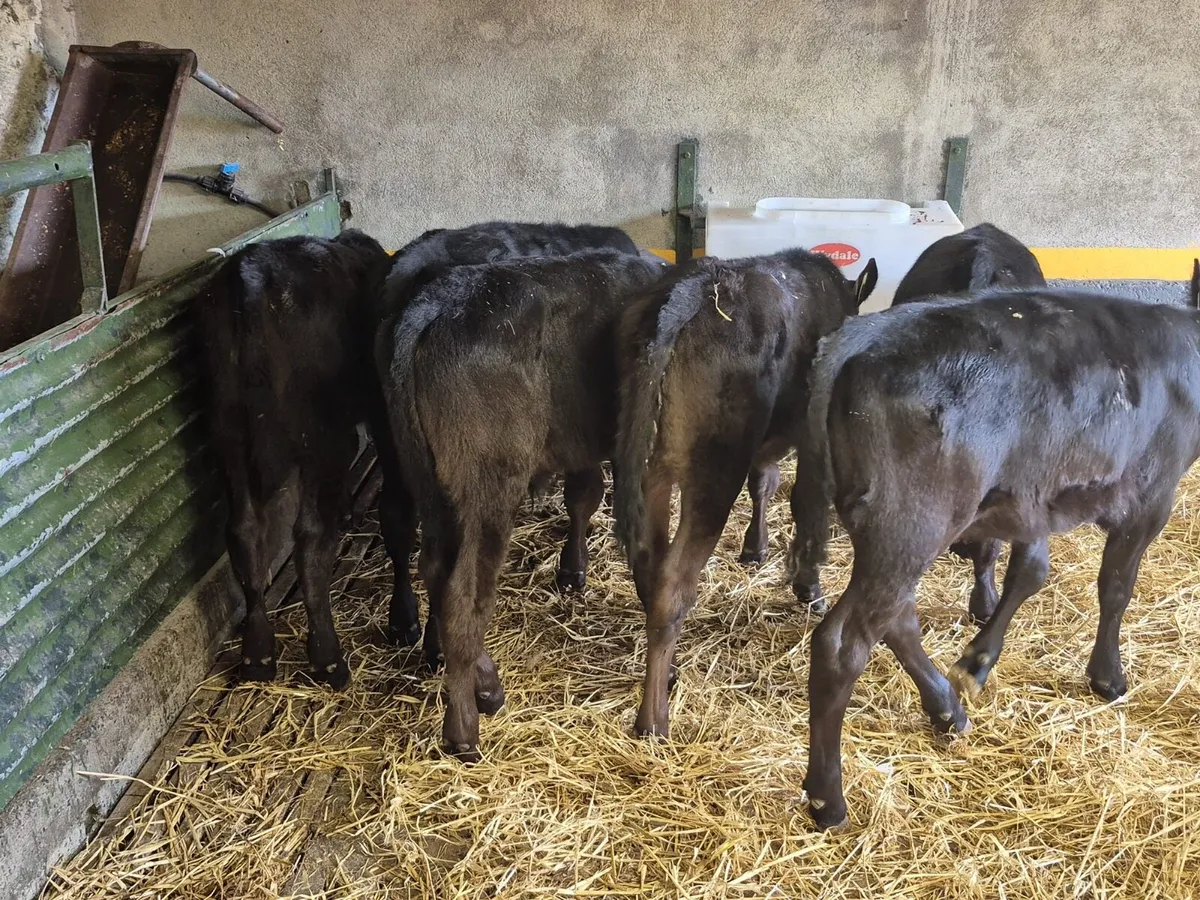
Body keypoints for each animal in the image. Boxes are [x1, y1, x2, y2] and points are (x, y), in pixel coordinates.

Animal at [196, 230, 392, 689]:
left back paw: (257, 653)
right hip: (315, 437)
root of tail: (250, 271)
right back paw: (327, 657)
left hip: (227, 432)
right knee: (309, 536)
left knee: (244, 531)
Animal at [377, 249, 667, 759]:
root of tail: (434, 303)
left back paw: (485, 686)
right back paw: (464, 729)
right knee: (464, 591)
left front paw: (574, 570)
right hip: (491, 483)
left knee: (434, 568)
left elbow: (584, 496)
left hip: (427, 478)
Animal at [613, 248, 877, 739]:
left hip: (648, 469)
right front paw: (809, 588)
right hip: (714, 471)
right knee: (672, 586)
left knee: (647, 564)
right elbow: (803, 504)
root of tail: (701, 284)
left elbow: (765, 481)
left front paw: (755, 547)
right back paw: (654, 719)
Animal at [787, 287, 1200, 830]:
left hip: (890, 531)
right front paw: (1108, 676)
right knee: (844, 645)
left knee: (898, 619)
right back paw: (828, 799)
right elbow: (1115, 589)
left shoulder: (1035, 499)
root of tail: (860, 336)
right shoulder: (1151, 496)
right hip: (910, 522)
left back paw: (946, 710)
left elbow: (1030, 572)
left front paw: (978, 660)